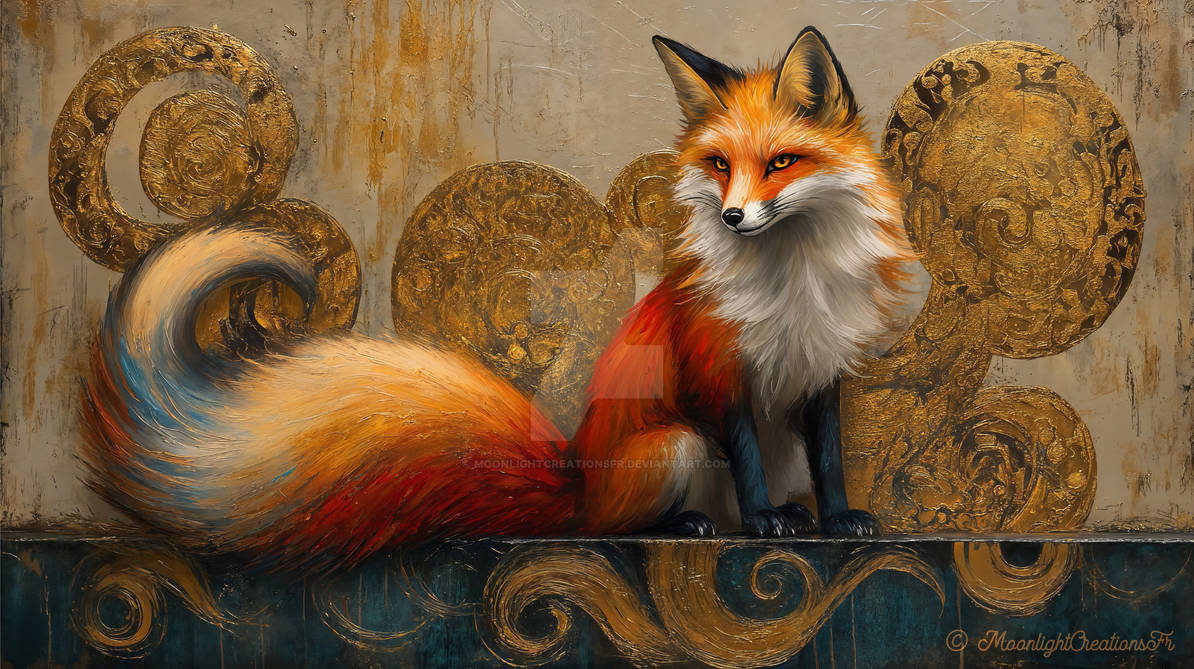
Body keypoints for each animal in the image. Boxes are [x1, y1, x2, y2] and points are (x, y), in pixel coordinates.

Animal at [81, 27, 913, 572]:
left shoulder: (823, 372)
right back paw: (694, 521)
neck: (792, 283)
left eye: (780, 163)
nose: (736, 216)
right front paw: (763, 521)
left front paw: (838, 518)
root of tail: (572, 477)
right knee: (613, 527)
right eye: (719, 165)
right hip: (672, 444)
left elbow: (832, 459)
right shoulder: (716, 372)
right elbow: (743, 458)